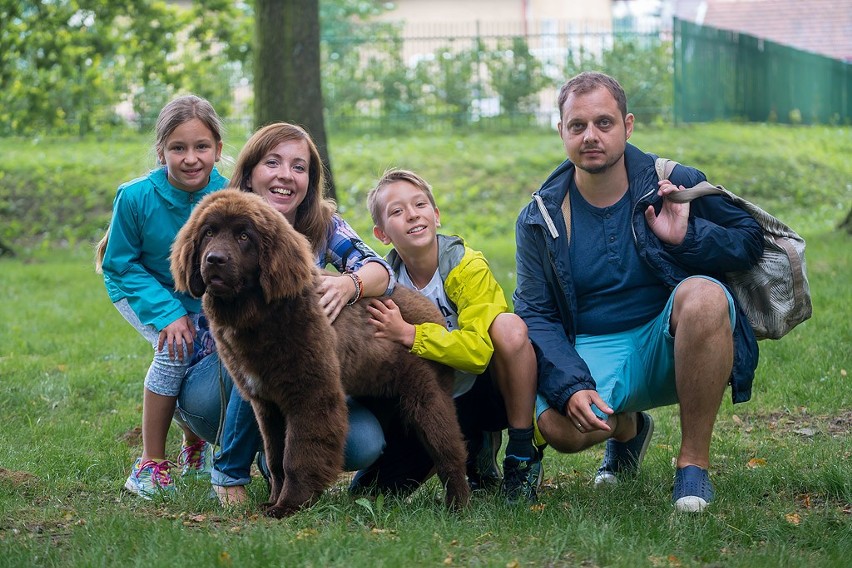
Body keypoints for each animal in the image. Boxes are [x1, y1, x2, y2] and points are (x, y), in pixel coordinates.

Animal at [170, 189, 470, 516]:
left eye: (244, 236)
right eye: (208, 233)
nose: (214, 259)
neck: (261, 312)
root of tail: (430, 311)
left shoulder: (311, 394)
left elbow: (297, 455)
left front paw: (290, 505)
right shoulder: (266, 403)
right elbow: (275, 458)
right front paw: (274, 500)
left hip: (428, 397)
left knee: (450, 450)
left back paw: (458, 505)